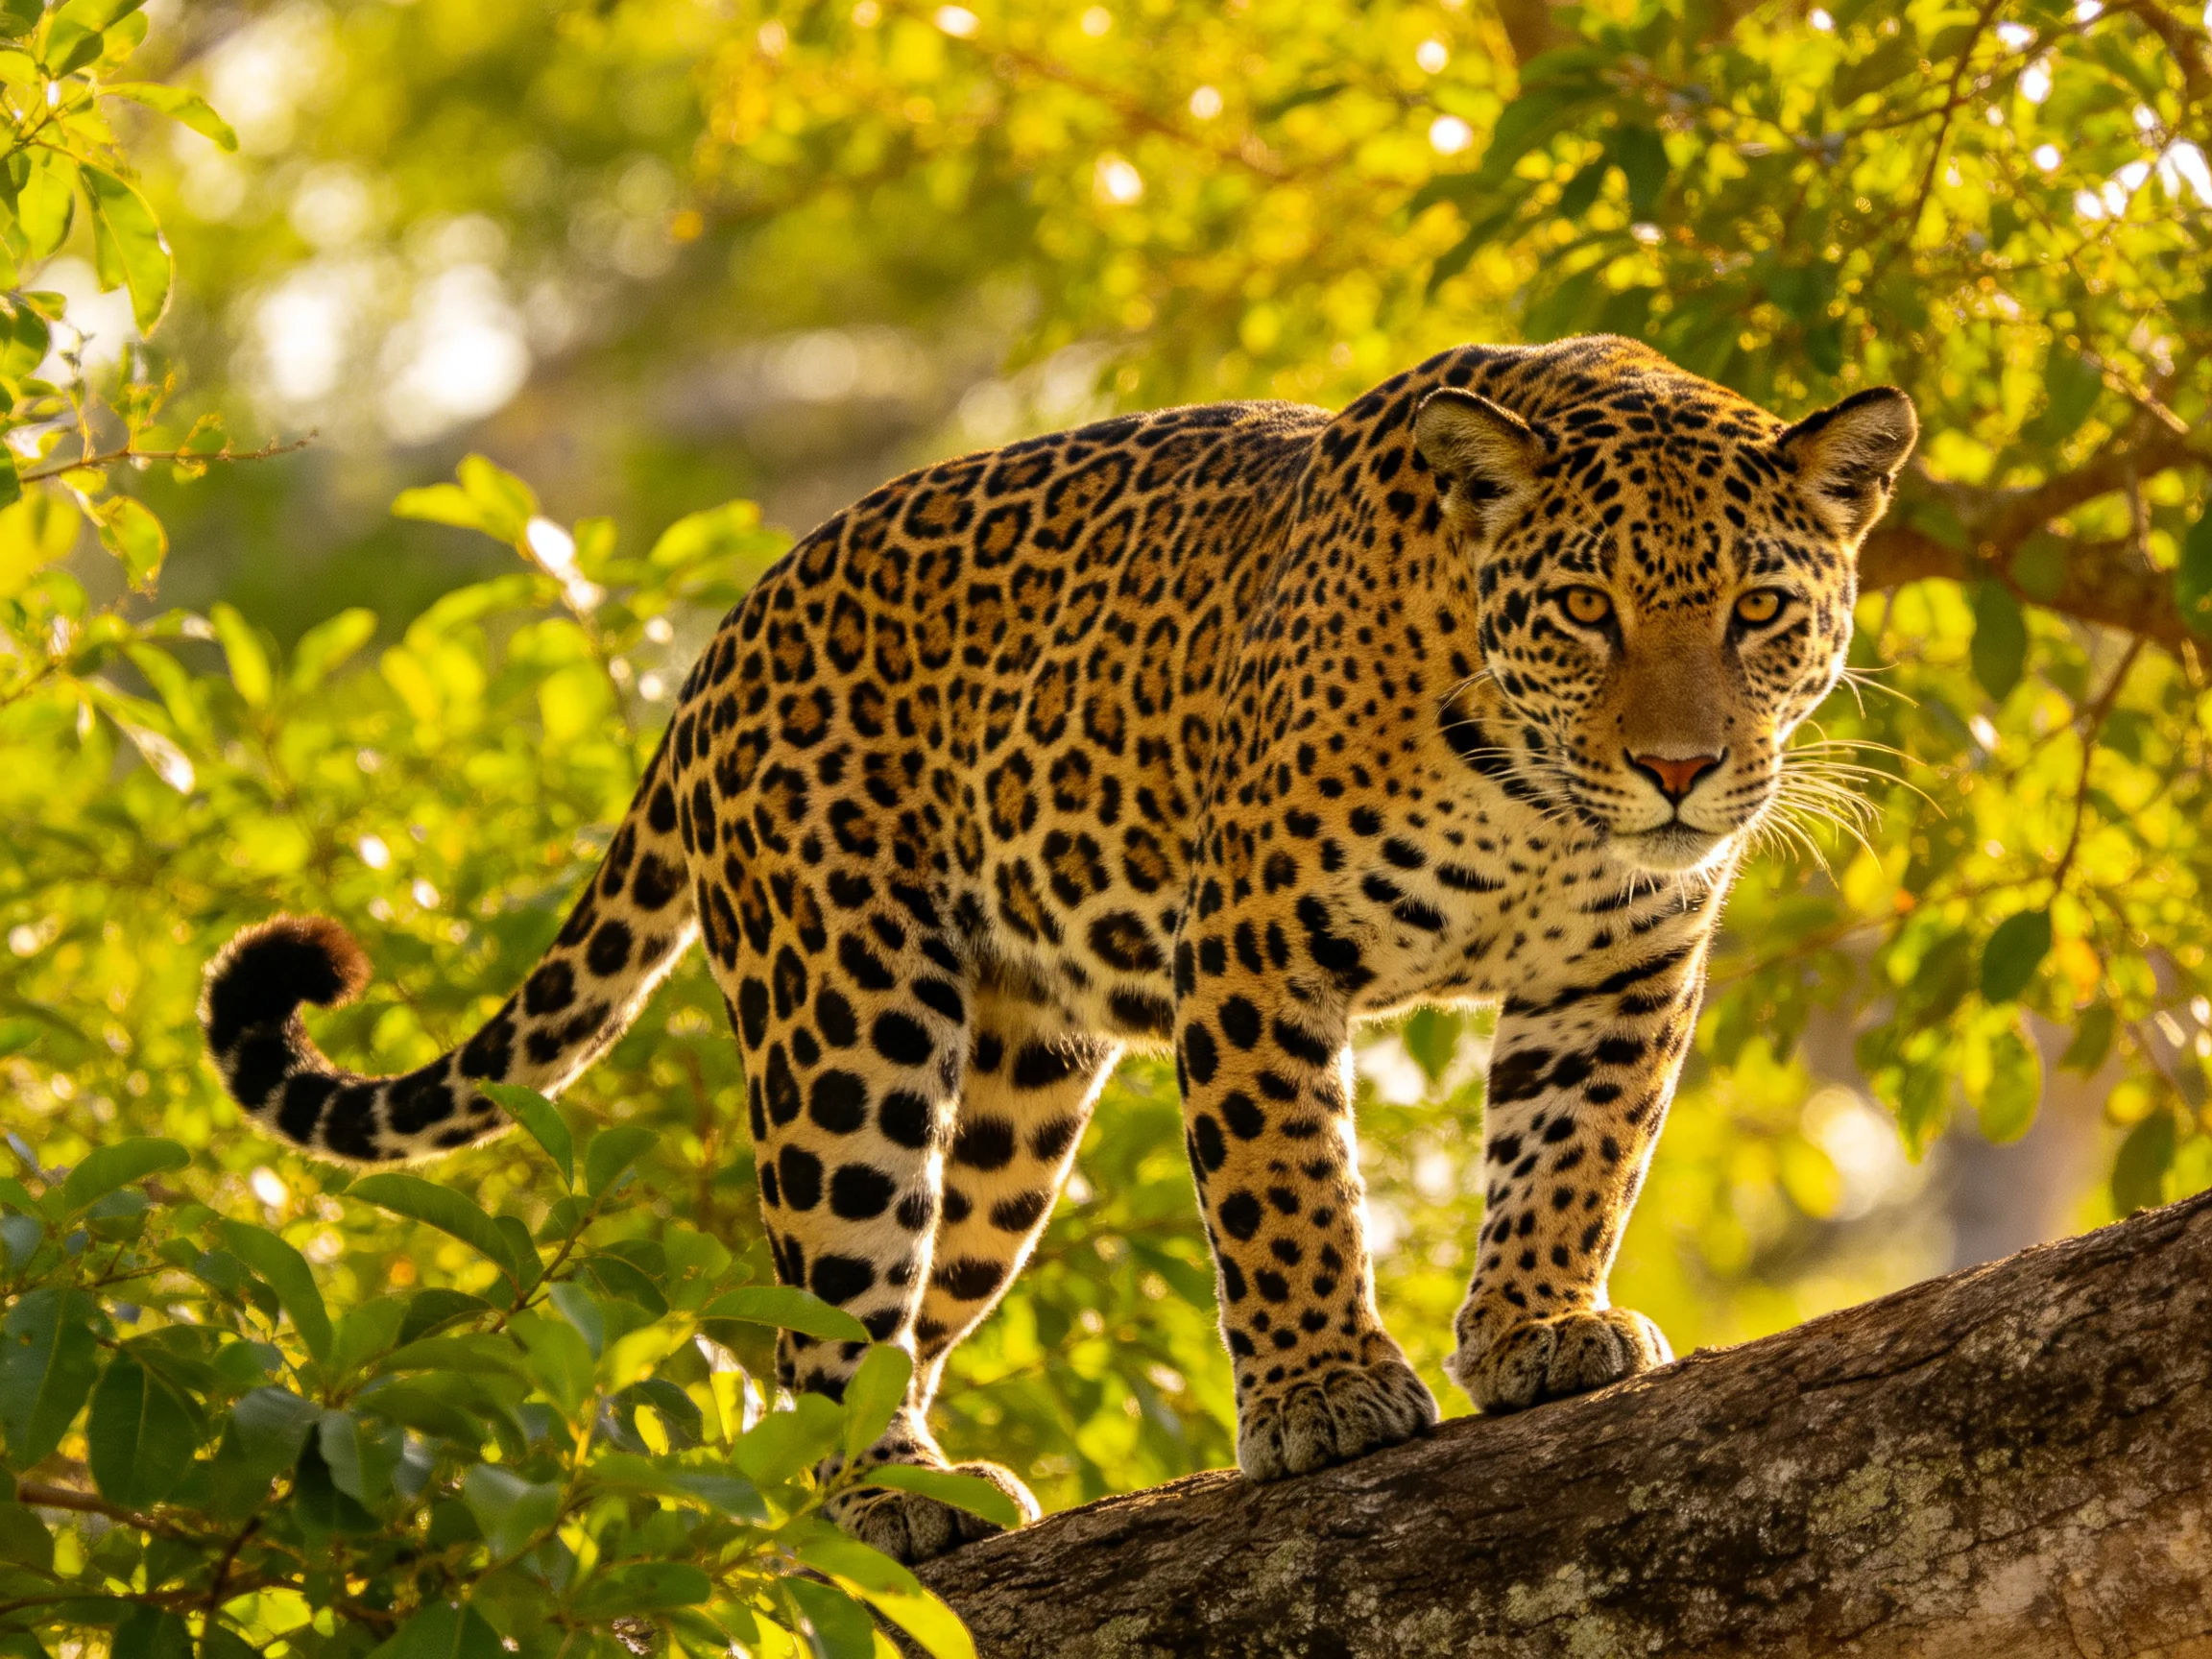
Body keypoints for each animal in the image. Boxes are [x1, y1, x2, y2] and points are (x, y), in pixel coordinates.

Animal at [201, 334, 1916, 1563]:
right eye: (1582, 608)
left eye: (1761, 609)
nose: (1681, 769)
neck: (1539, 795)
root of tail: (723, 642)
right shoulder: (1257, 952)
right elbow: (1286, 1192)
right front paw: (1327, 1396)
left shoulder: (1619, 967)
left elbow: (1576, 1153)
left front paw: (1542, 1327)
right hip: (850, 1026)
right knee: (828, 1297)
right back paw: (883, 1497)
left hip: (1015, 1110)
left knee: (880, 1314)